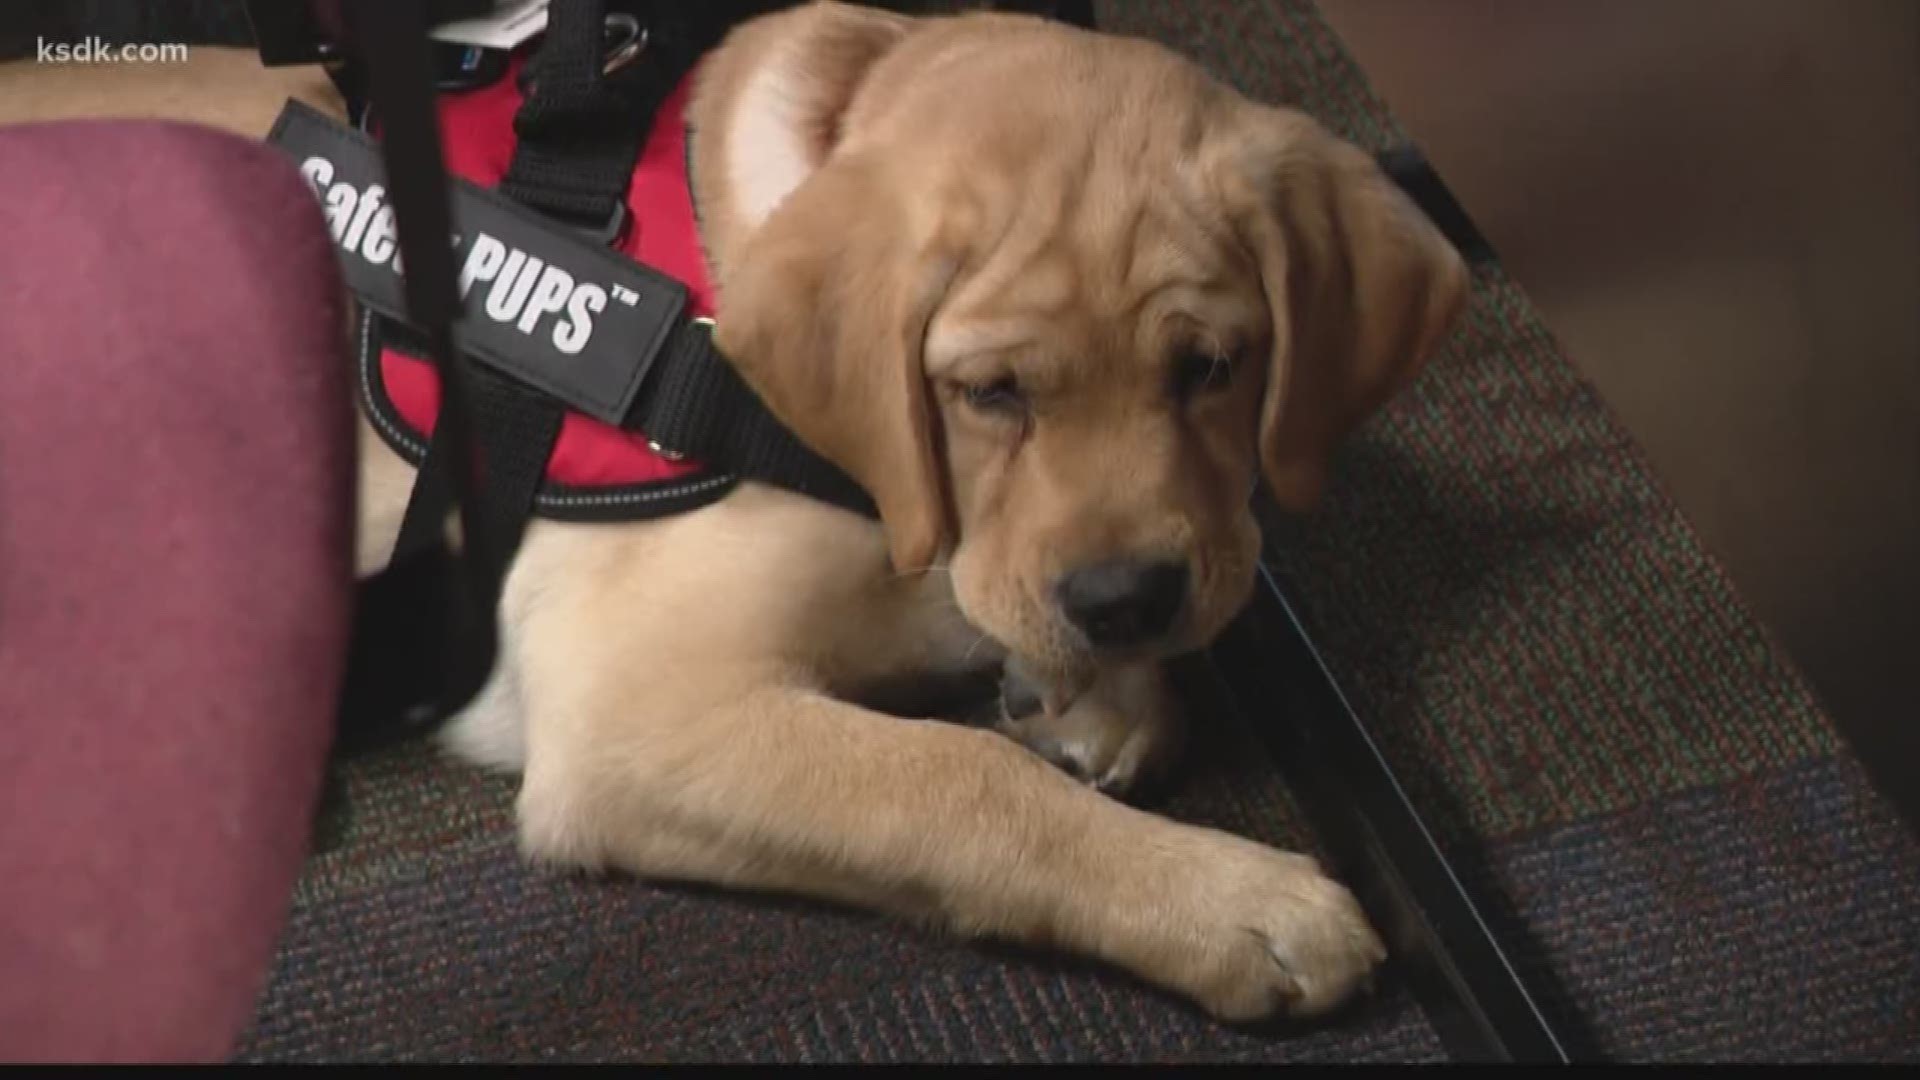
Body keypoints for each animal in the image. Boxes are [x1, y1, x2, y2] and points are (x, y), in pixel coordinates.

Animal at [3, 4, 1466, 1022]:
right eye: (989, 394)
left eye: (1212, 368)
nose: (1127, 602)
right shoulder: (634, 707)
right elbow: (957, 783)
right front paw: (1231, 901)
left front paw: (1091, 686)